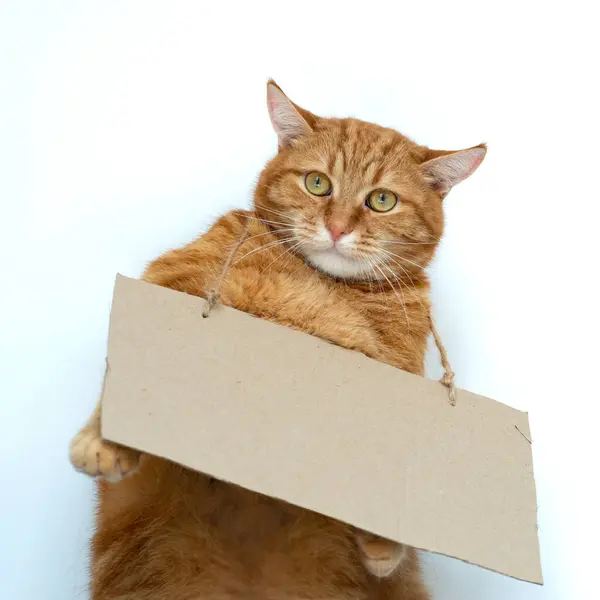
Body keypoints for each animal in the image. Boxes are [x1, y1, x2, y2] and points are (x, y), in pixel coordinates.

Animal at [70, 81, 486, 600]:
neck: (323, 290)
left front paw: (383, 537)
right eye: (317, 184)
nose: (337, 228)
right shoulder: (177, 283)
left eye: (382, 200)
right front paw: (103, 441)